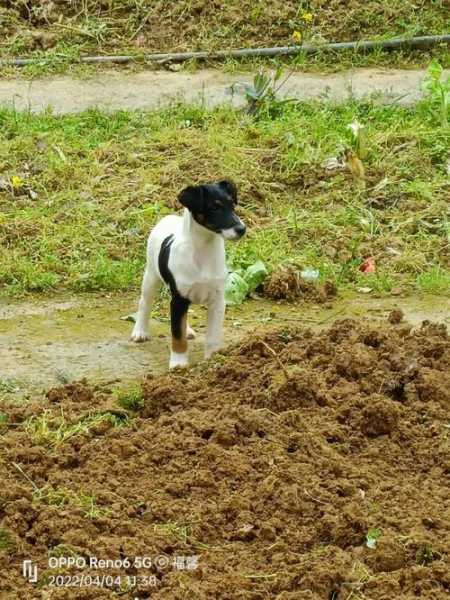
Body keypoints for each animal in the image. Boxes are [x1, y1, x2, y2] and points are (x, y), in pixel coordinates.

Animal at [130, 182, 246, 370]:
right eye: (215, 207)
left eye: (232, 205)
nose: (242, 229)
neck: (204, 250)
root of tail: (167, 218)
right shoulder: (178, 300)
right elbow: (177, 335)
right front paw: (178, 363)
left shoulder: (217, 301)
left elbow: (212, 336)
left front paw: (213, 359)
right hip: (151, 277)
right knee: (144, 304)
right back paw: (140, 331)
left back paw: (188, 330)